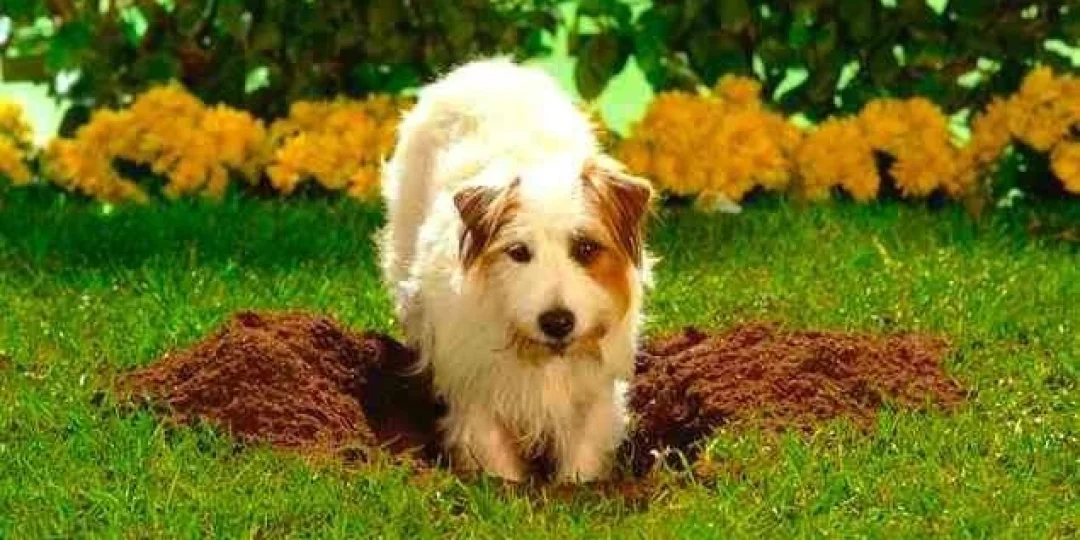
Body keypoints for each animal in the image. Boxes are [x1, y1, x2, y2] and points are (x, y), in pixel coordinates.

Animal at [378, 59, 652, 483]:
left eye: (586, 248)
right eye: (518, 252)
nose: (557, 321)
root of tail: (486, 66)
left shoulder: (591, 398)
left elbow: (581, 462)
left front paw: (575, 489)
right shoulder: (478, 395)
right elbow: (497, 462)